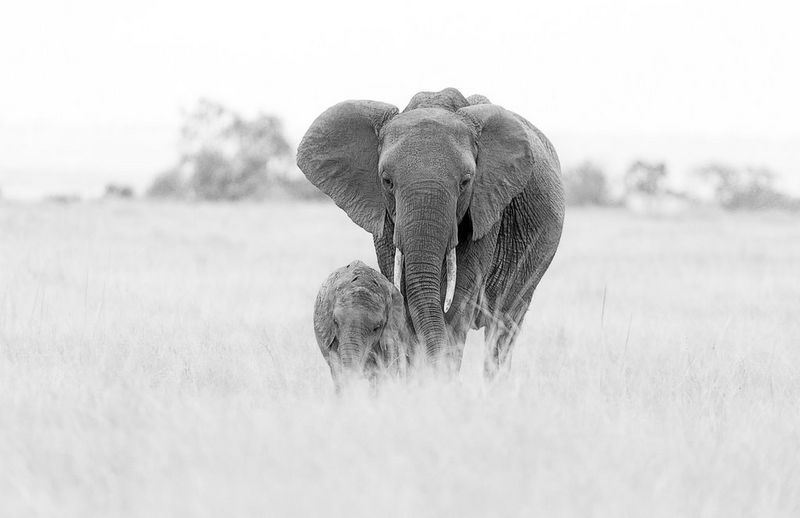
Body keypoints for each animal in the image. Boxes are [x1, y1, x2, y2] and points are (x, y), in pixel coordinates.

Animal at [296, 87, 564, 376]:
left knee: (503, 329)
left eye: (466, 182)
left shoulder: (487, 209)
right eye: (387, 181)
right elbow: (404, 295)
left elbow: (456, 301)